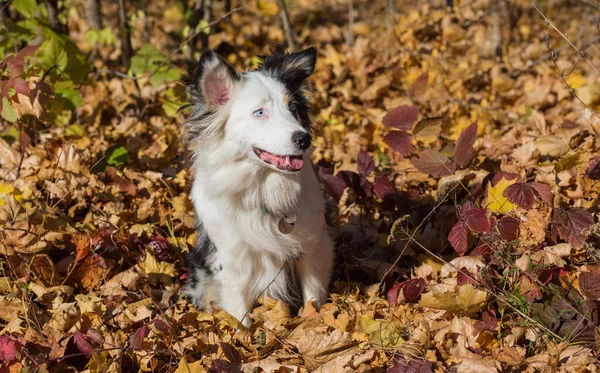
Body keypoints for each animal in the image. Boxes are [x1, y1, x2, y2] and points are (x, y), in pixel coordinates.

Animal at [180, 46, 336, 326]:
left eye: (292, 106)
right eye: (260, 113)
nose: (304, 139)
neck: (262, 189)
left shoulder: (314, 249)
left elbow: (312, 298)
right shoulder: (231, 264)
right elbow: (239, 316)